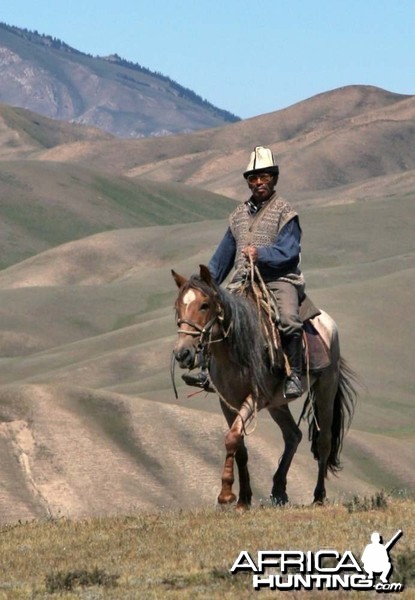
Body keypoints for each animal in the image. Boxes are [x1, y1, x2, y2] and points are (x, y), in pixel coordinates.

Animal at [171, 264, 360, 506]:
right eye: (178, 307)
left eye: (204, 305)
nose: (182, 353)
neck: (236, 350)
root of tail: (329, 324)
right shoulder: (228, 403)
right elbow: (239, 445)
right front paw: (243, 499)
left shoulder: (255, 397)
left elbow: (232, 438)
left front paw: (226, 494)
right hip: (277, 403)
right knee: (293, 435)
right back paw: (279, 491)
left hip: (326, 388)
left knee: (324, 441)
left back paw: (318, 496)